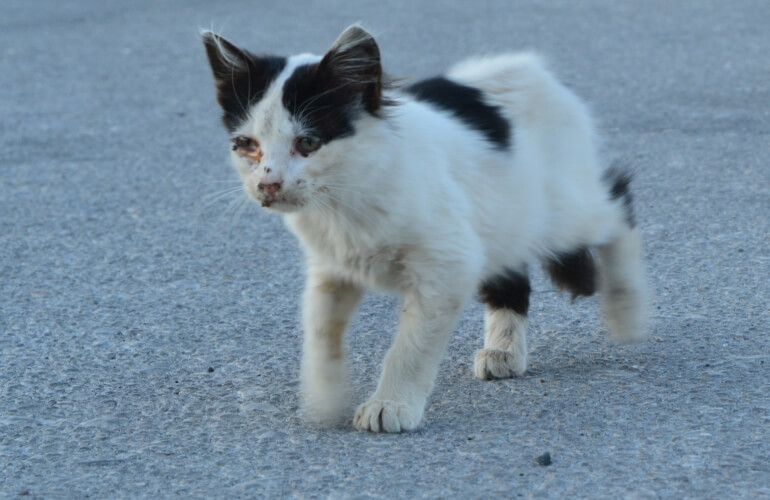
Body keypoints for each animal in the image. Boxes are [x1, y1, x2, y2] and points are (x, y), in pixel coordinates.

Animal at [201, 23, 644, 432]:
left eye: (308, 143)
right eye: (247, 145)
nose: (268, 185)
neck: (346, 195)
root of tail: (532, 68)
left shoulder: (447, 263)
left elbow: (410, 346)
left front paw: (390, 405)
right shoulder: (331, 267)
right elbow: (321, 331)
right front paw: (324, 398)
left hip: (563, 214)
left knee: (618, 203)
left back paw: (628, 312)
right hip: (502, 217)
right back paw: (505, 350)